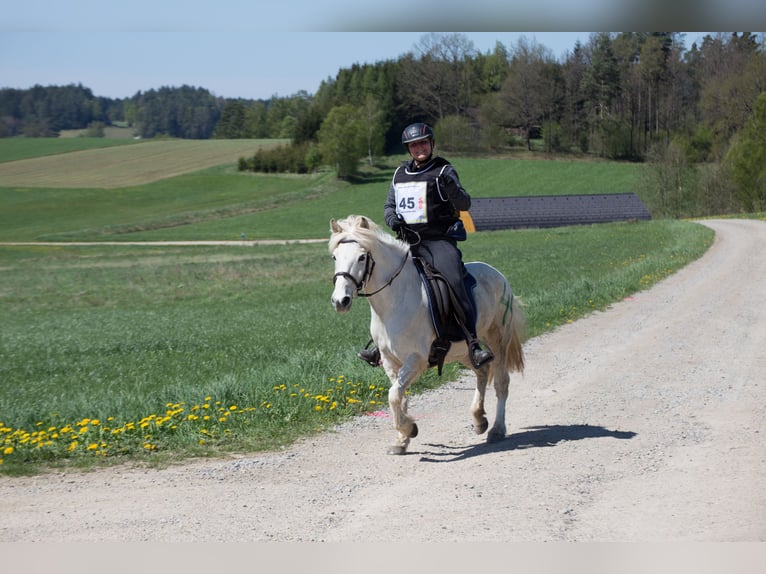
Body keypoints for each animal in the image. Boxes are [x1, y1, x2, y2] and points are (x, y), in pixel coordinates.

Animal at [329, 215, 526, 455]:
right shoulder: (390, 361)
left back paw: (497, 429)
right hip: (462, 351)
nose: (341, 301)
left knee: (501, 383)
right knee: (482, 371)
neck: (395, 300)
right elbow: (398, 396)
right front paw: (402, 439)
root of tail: (497, 274)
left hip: (498, 339)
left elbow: (393, 396)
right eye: (335, 257)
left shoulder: (416, 359)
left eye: (361, 257)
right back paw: (479, 420)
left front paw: (409, 429)